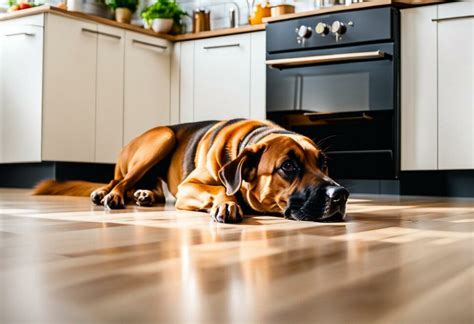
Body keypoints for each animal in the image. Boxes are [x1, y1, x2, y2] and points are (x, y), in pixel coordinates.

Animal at [34, 119, 348, 223]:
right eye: (288, 166)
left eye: (323, 163)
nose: (341, 194)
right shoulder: (189, 186)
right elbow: (220, 187)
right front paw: (227, 204)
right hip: (162, 138)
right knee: (119, 180)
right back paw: (110, 194)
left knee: (150, 189)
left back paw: (144, 195)